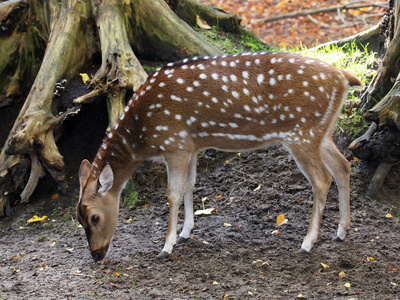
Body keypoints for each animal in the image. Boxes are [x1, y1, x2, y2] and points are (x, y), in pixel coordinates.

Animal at [76, 51, 360, 260]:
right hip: (321, 133)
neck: (144, 133)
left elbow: (172, 194)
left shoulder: (174, 143)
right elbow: (190, 186)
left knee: (322, 179)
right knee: (343, 166)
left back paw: (308, 242)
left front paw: (166, 246)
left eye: (95, 217)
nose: (96, 255)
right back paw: (342, 231)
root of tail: (344, 77)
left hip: (302, 133)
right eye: (78, 219)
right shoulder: (191, 146)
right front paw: (186, 231)